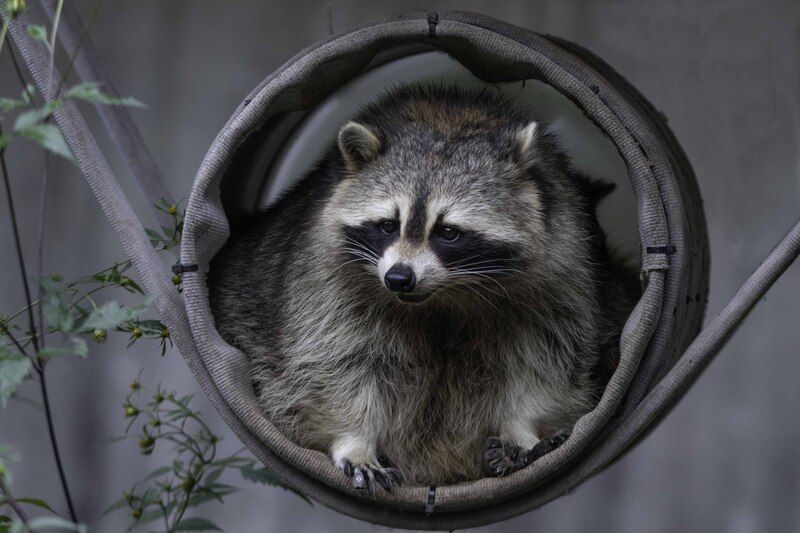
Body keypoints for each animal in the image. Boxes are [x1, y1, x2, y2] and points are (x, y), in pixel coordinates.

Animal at [209, 84, 639, 490]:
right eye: (387, 225)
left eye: (448, 232)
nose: (399, 277)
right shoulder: (322, 280)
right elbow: (335, 366)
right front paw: (355, 439)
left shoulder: (561, 273)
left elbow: (545, 362)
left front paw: (523, 428)